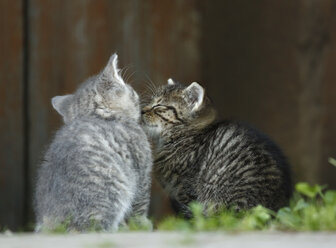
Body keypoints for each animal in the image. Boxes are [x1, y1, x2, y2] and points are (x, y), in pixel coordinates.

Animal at [34, 53, 152, 232]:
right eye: (132, 91)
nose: (137, 96)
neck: (98, 116)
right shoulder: (141, 168)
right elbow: (140, 203)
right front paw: (142, 224)